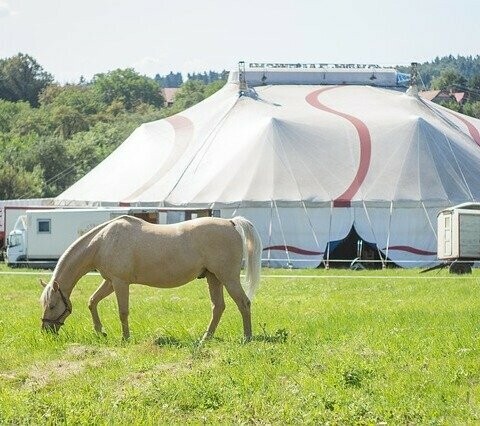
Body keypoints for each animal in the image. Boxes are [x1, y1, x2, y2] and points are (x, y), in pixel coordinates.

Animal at [39, 215, 260, 342]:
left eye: (52, 305)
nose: (46, 331)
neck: (102, 242)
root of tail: (231, 223)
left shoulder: (120, 283)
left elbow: (123, 312)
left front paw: (125, 338)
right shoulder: (110, 282)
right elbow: (92, 302)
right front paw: (100, 332)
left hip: (228, 278)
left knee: (244, 303)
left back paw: (247, 337)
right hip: (213, 278)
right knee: (218, 307)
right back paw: (206, 338)